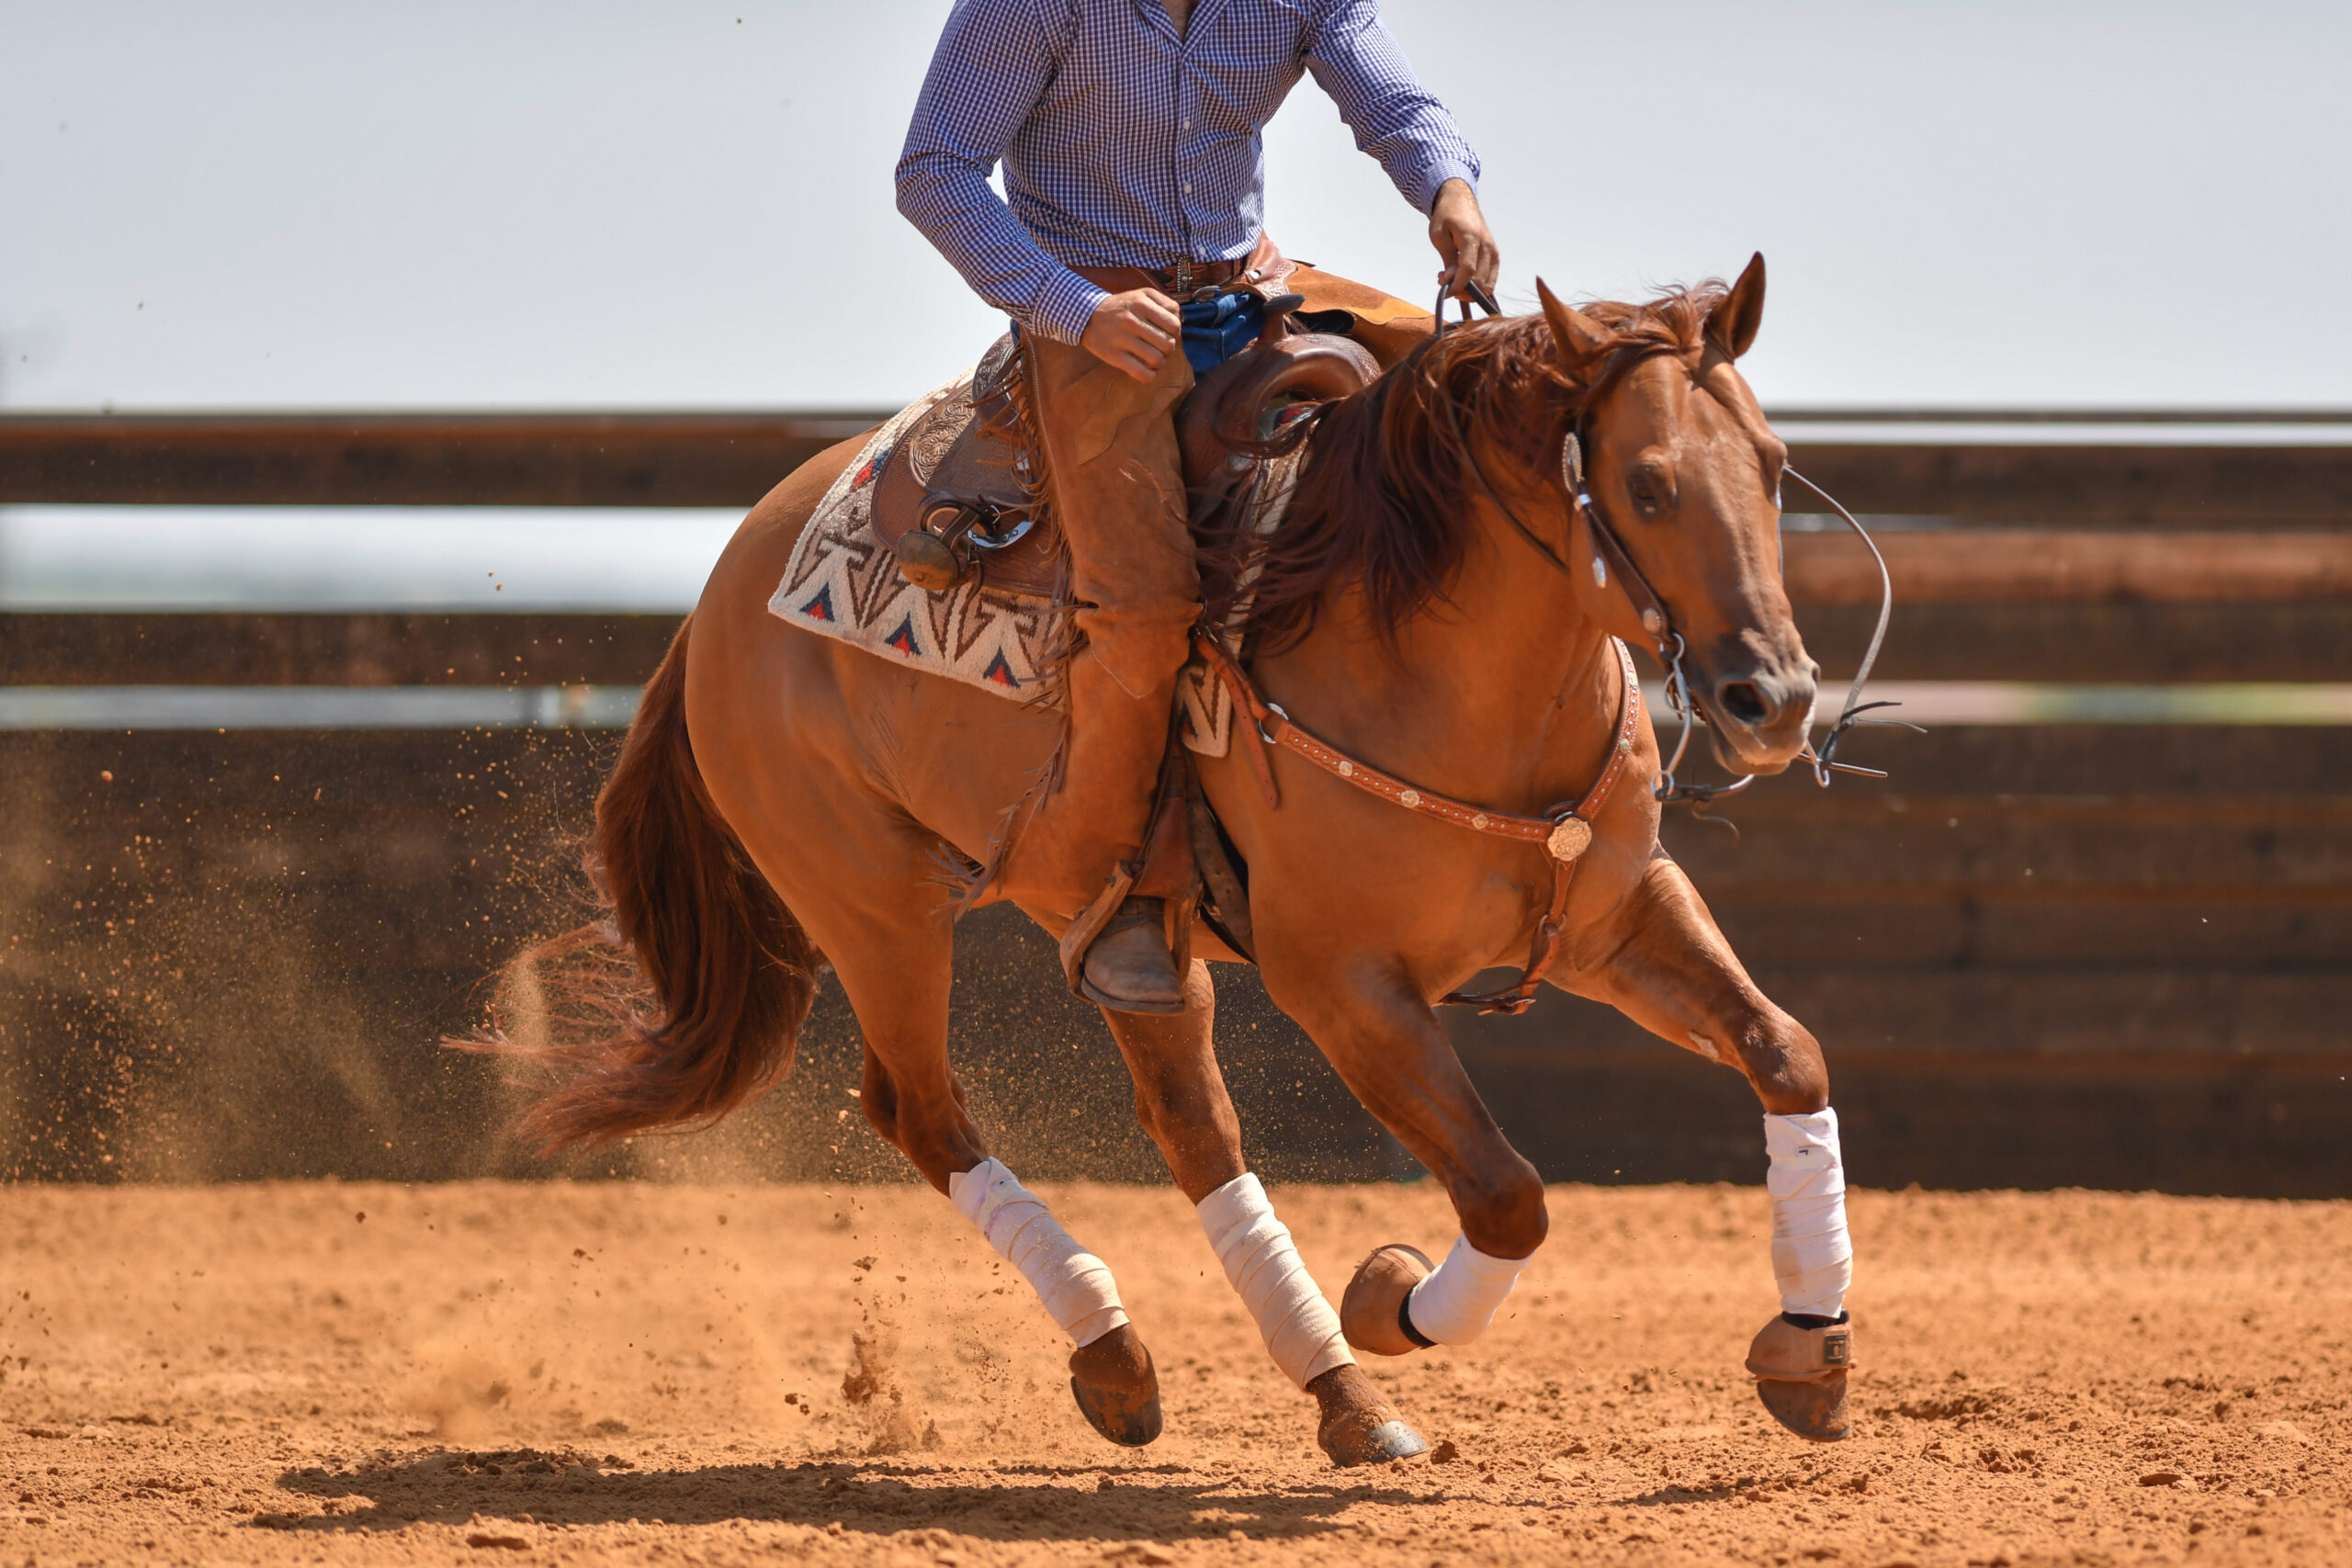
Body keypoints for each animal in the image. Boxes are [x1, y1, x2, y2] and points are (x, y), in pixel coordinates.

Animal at [479, 253, 1847, 1466]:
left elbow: (1787, 1052)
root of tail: (724, 587)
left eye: (1774, 468)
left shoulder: (1617, 917)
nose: (1772, 698)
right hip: (869, 903)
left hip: (1120, 928)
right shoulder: (1341, 982)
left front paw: (1810, 1346)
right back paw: (1120, 1353)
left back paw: (1337, 1398)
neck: (1438, 664)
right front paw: (1390, 1298)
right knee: (920, 1107)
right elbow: (1508, 1192)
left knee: (1189, 1123)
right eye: (1649, 484)